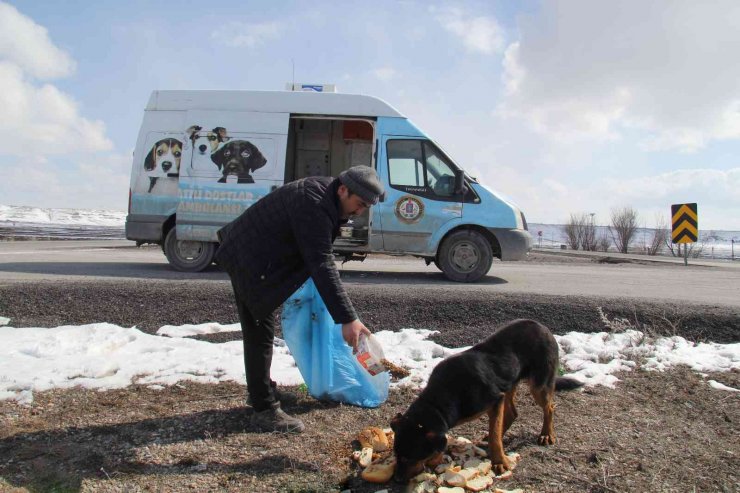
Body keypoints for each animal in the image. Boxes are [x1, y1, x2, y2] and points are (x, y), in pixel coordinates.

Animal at [394, 320, 584, 480]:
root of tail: (542, 326)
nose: (396, 480)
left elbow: (495, 435)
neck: (437, 403)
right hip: (509, 382)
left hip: (539, 385)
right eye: (396, 455)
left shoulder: (495, 400)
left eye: (408, 458)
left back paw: (546, 434)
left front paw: (499, 461)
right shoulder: (497, 398)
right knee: (513, 413)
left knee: (549, 407)